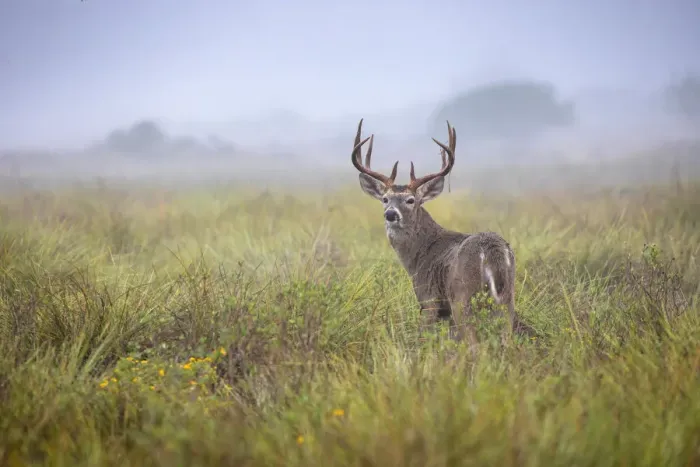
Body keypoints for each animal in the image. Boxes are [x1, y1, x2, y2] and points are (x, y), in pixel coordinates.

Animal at [350, 118, 517, 350]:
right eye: (385, 198)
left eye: (410, 200)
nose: (391, 214)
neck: (419, 255)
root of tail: (493, 249)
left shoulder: (429, 300)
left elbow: (424, 339)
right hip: (507, 297)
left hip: (462, 297)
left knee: (473, 344)